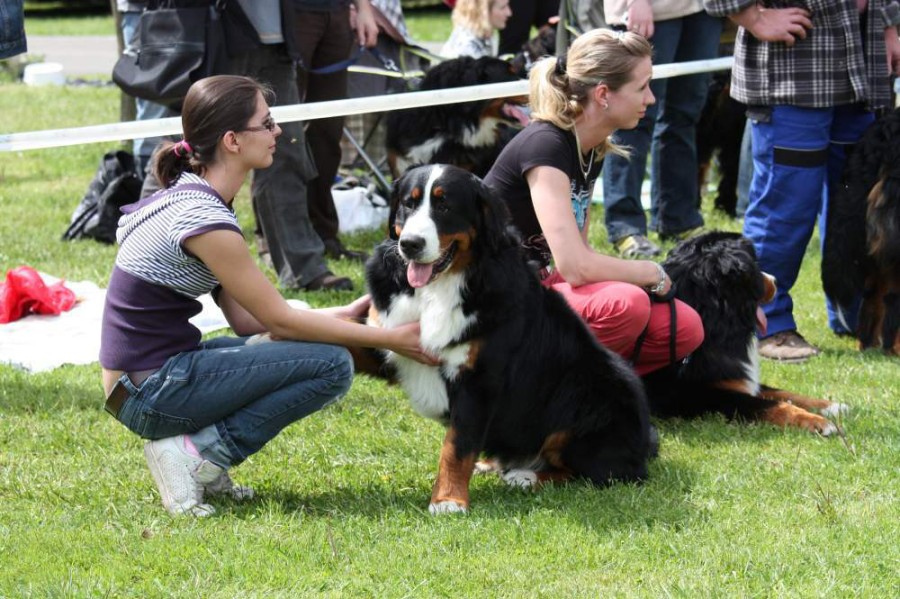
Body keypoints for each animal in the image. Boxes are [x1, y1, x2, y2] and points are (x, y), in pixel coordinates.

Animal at [366, 165, 652, 516]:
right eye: (409, 203)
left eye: (444, 206)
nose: (410, 244)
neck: (441, 287)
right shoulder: (386, 338)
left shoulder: (480, 379)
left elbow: (457, 445)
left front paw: (448, 500)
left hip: (592, 397)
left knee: (601, 472)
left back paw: (525, 475)